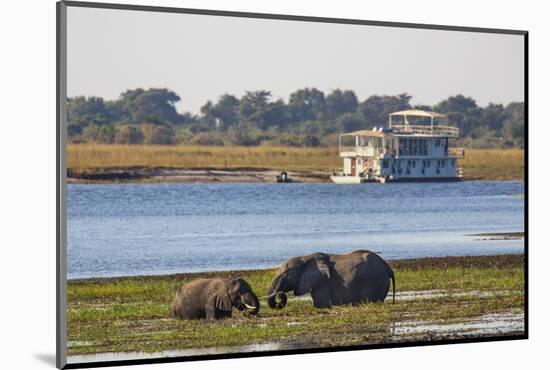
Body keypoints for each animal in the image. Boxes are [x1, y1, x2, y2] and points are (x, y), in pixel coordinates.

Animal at [268, 249, 396, 310]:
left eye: (285, 274)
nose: (281, 295)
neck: (305, 258)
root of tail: (387, 266)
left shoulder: (323, 284)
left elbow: (320, 305)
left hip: (375, 282)